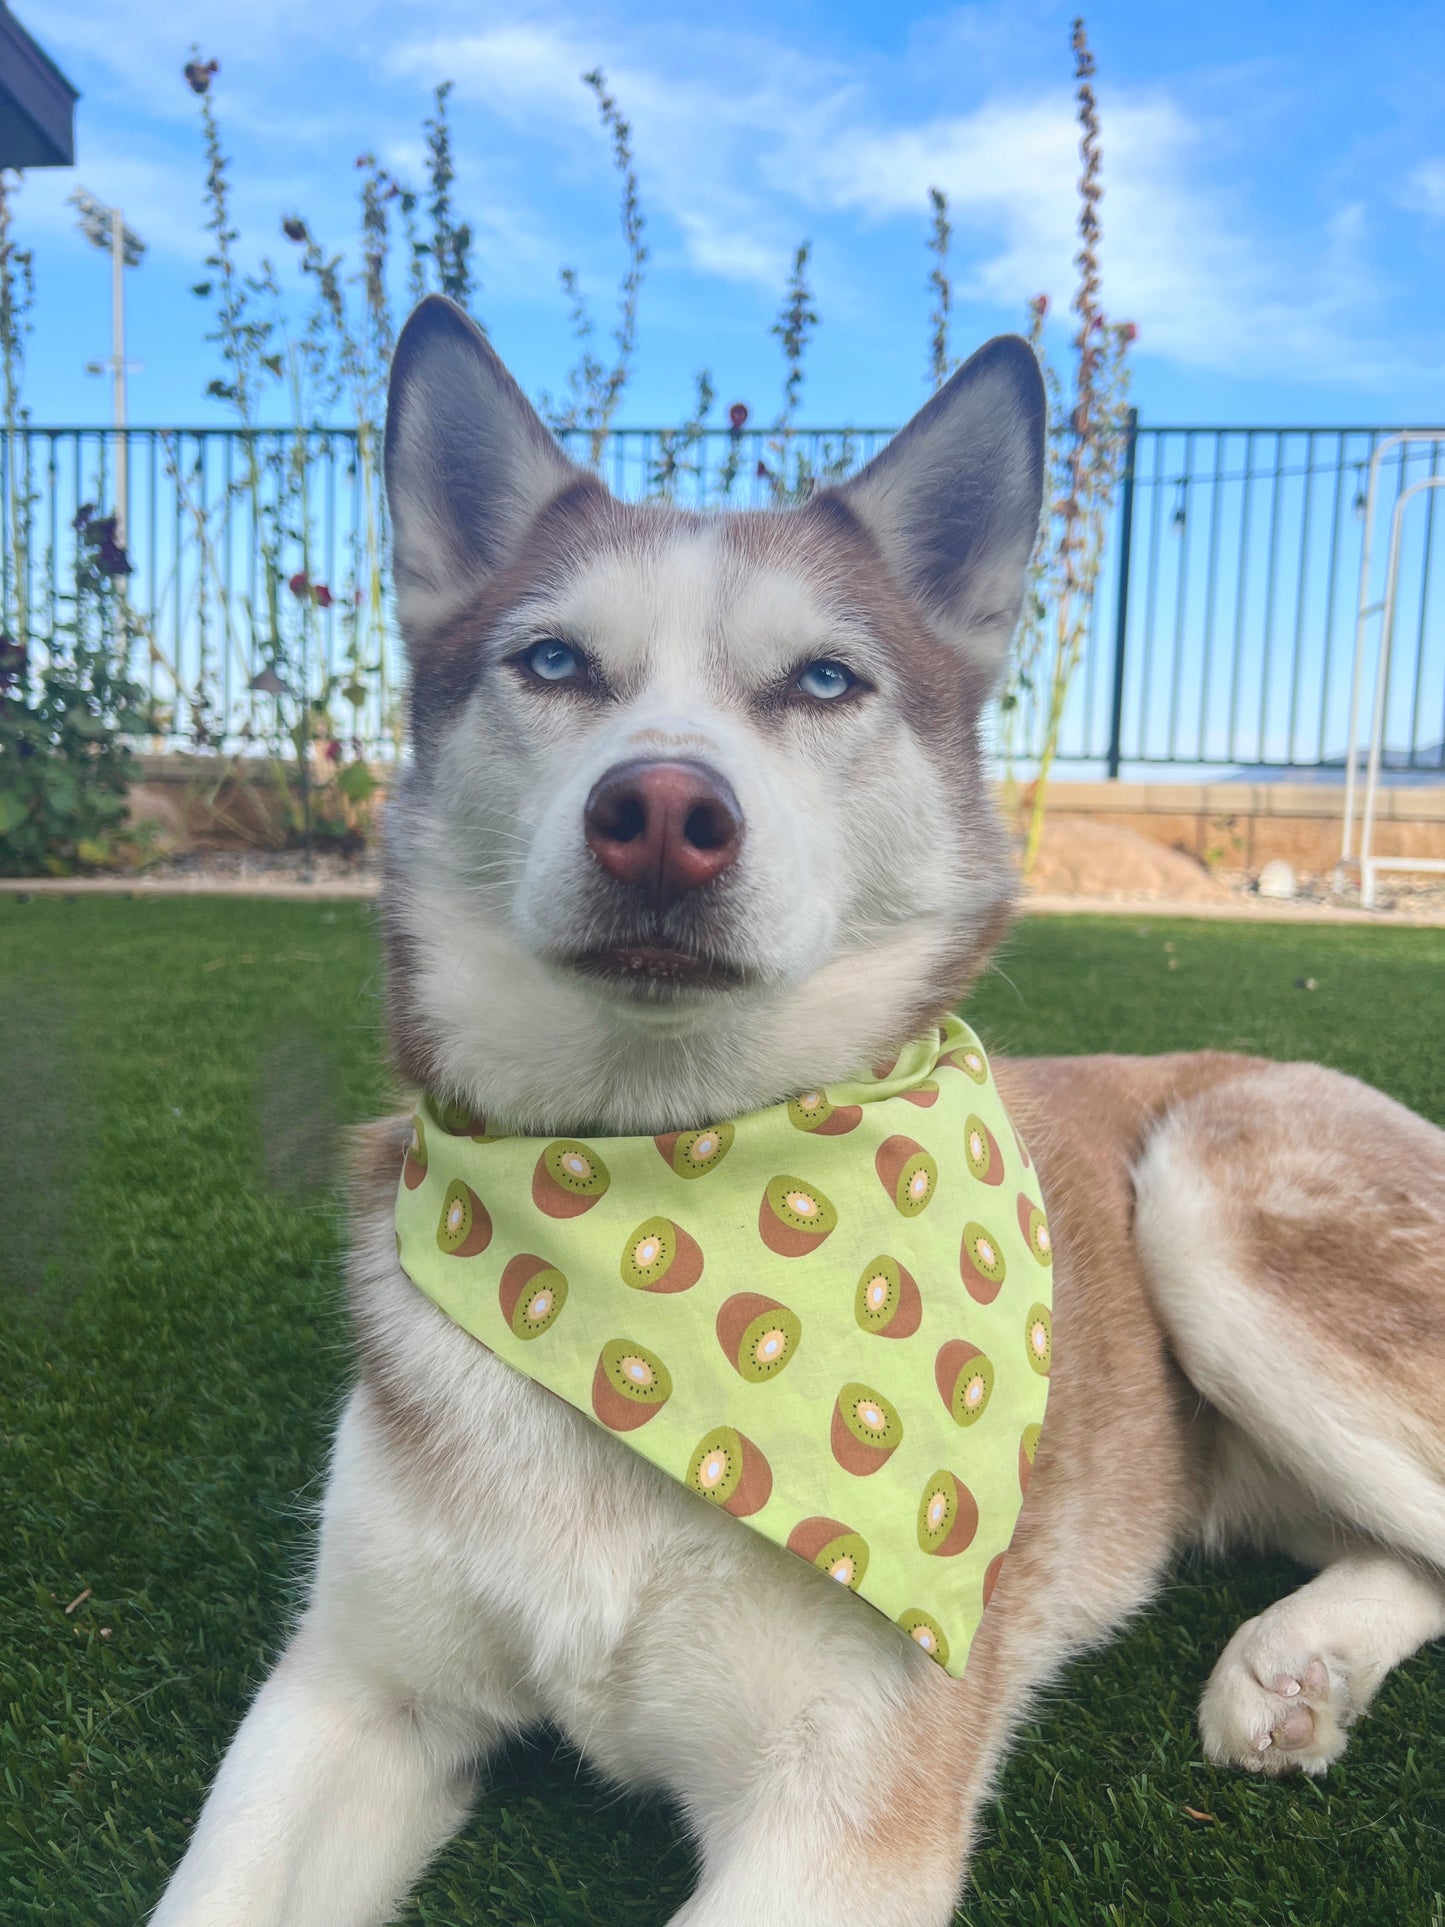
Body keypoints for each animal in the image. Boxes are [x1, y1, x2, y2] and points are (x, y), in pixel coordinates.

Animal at [153, 300, 1441, 1927]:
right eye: (554, 660)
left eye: (823, 681)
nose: (658, 812)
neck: (658, 1194)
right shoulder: (352, 1689)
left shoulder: (840, 1817)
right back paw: (1296, 1660)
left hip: (1210, 1200)